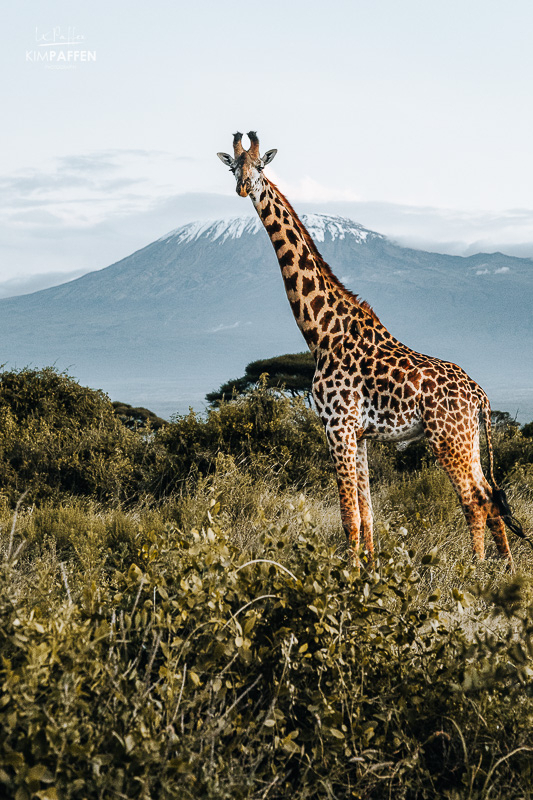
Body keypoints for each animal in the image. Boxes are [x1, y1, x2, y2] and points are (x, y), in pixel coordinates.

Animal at [217, 131, 525, 568]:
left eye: (260, 167)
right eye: (233, 167)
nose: (244, 187)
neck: (321, 332)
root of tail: (480, 395)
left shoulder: (337, 426)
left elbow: (349, 516)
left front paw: (346, 577)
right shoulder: (359, 434)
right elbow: (368, 514)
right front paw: (368, 570)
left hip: (446, 438)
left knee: (474, 501)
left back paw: (477, 572)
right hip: (470, 440)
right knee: (492, 497)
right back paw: (506, 571)